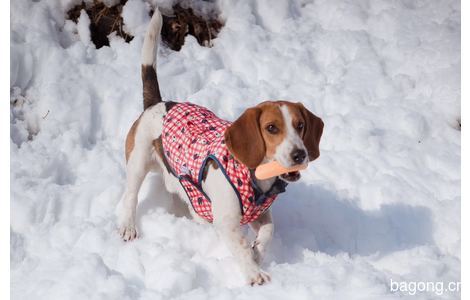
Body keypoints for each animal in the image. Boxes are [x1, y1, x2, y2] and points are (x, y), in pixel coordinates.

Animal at [117, 9, 324, 286]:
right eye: (271, 128)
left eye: (300, 125)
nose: (299, 154)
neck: (253, 176)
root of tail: (159, 103)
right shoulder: (227, 222)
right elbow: (240, 246)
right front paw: (253, 272)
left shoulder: (261, 215)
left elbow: (268, 232)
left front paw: (257, 252)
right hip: (138, 161)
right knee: (130, 196)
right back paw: (128, 226)